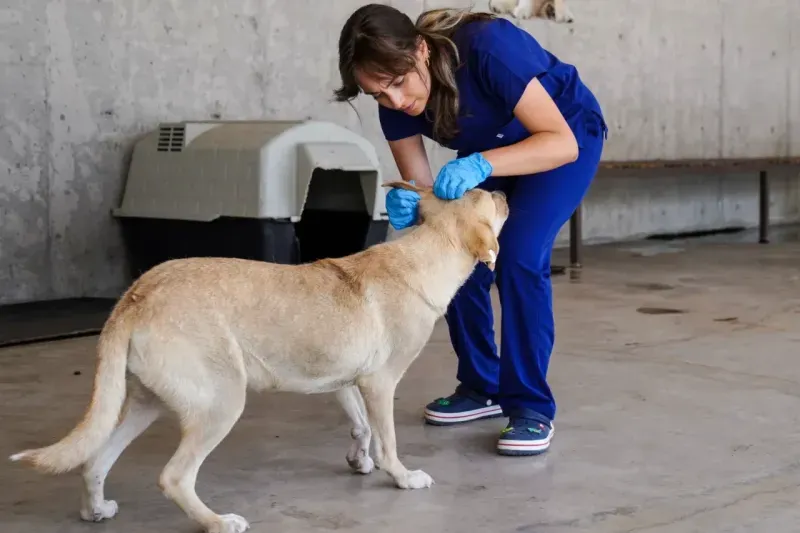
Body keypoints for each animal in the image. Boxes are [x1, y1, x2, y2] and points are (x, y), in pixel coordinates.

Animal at [9, 182, 510, 532]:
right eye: (486, 194)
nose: (505, 191)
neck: (421, 258)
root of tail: (138, 293)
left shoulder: (347, 383)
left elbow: (362, 427)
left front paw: (359, 460)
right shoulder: (380, 384)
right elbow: (387, 441)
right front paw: (401, 477)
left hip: (144, 404)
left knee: (94, 461)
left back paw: (96, 510)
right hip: (222, 403)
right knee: (174, 477)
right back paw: (216, 522)